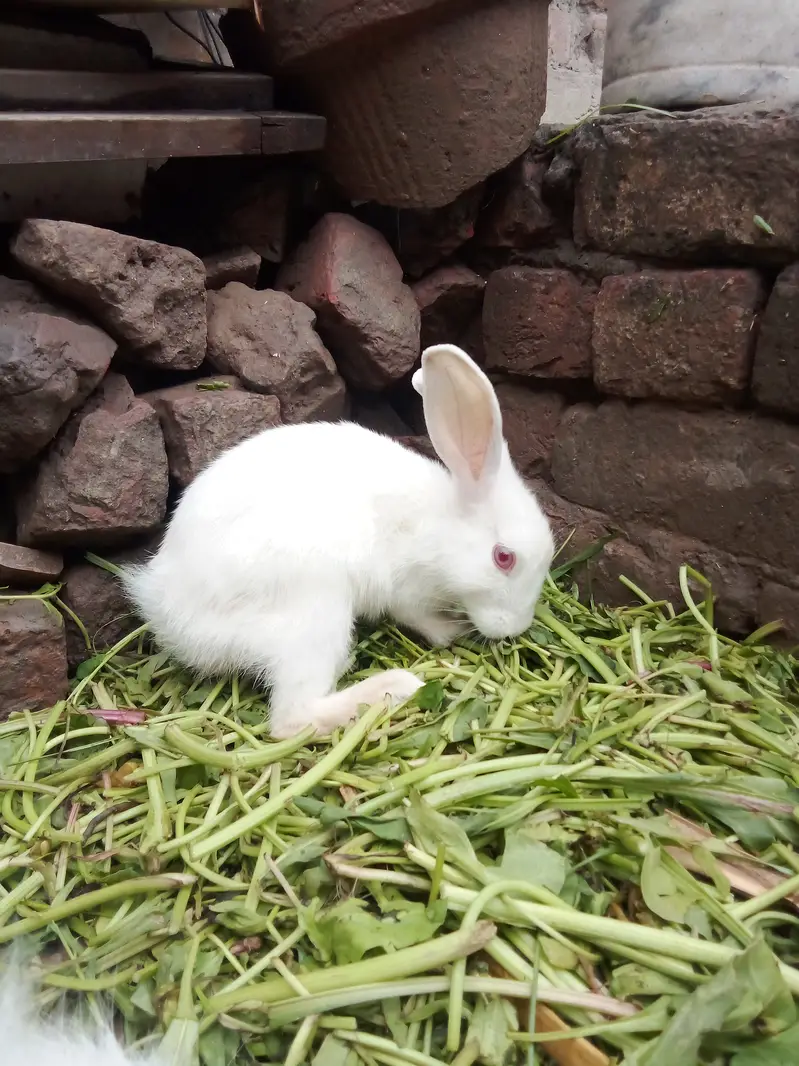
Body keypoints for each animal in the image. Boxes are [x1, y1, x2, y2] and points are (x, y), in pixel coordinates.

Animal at [122, 343, 554, 739]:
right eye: (504, 558)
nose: (516, 628)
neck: (442, 526)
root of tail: (166, 609)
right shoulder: (407, 588)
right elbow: (419, 617)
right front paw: (451, 631)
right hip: (314, 613)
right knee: (293, 718)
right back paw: (394, 687)